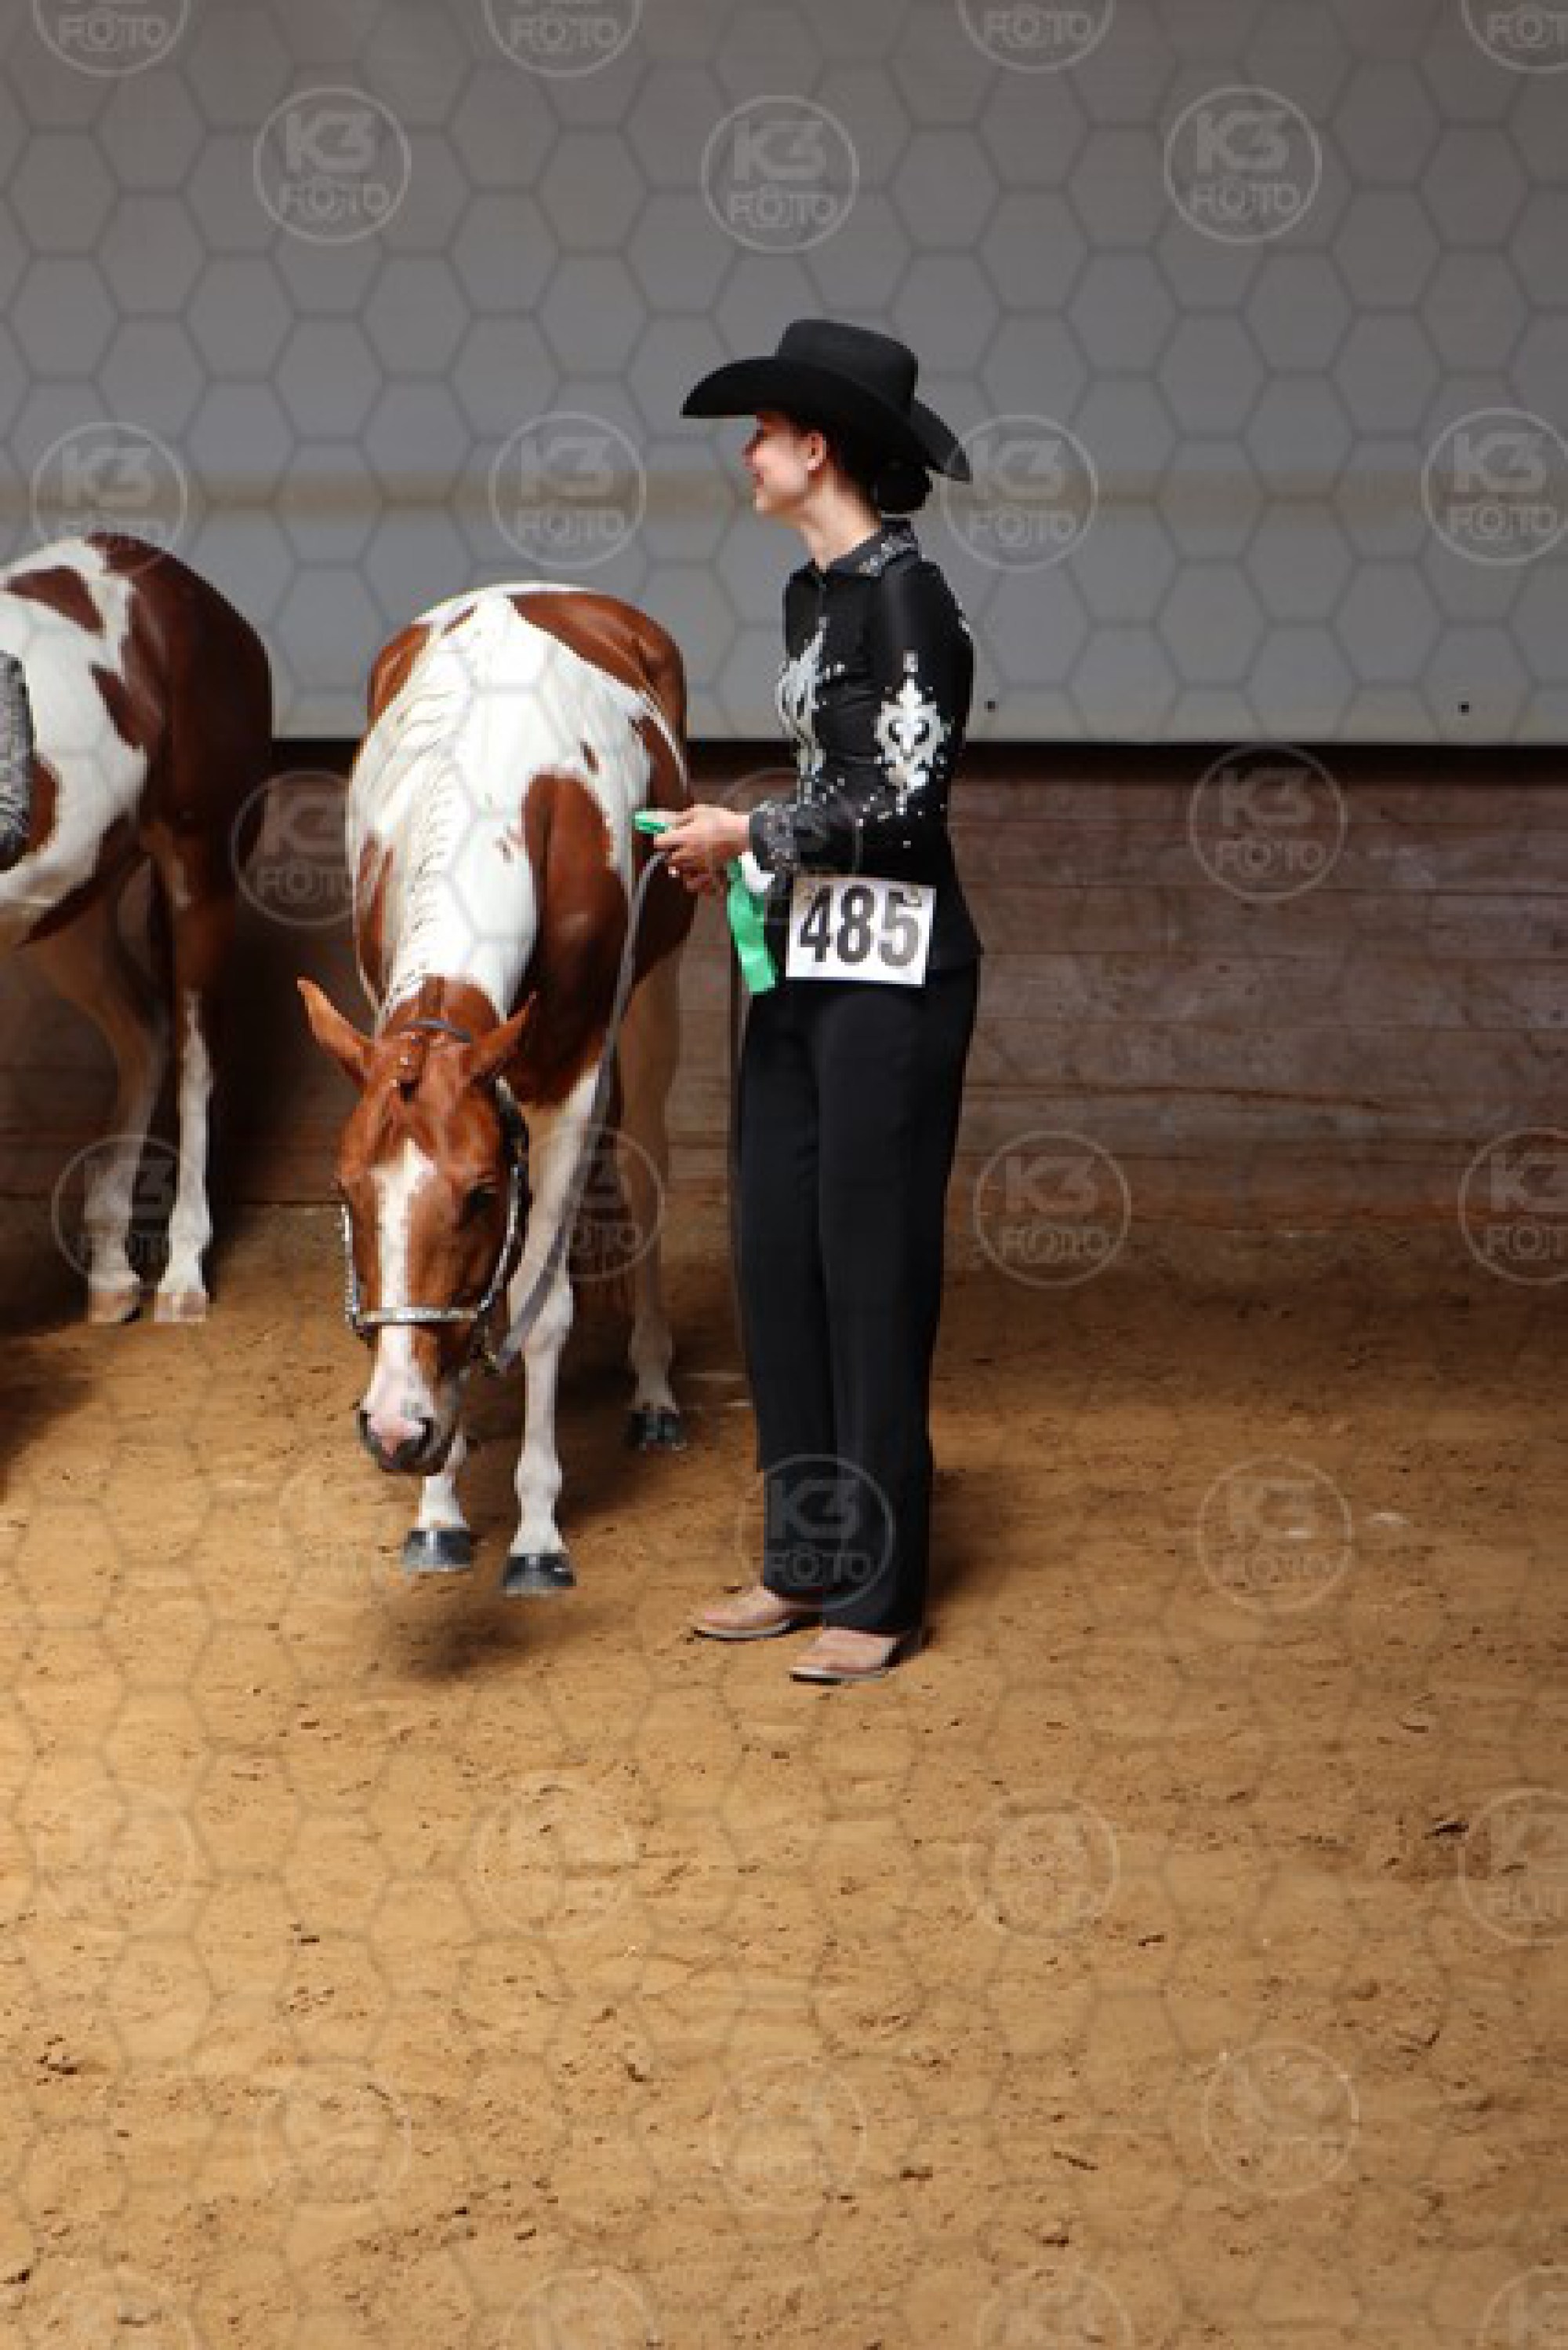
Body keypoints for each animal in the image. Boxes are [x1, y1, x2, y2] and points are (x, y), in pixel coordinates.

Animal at [0, 531, 272, 1321]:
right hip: (70, 917)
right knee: (143, 1033)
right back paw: (112, 1275)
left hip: (200, 883)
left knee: (193, 1055)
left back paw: (181, 1278)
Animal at [299, 582, 695, 1595]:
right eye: (345, 1193)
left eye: (478, 1194)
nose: (393, 1428)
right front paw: (437, 1508)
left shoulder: (571, 1072)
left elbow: (544, 1309)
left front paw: (537, 1532)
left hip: (653, 996)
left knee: (648, 1169)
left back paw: (653, 1389)